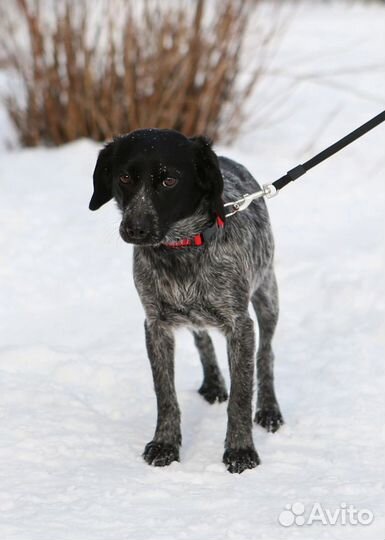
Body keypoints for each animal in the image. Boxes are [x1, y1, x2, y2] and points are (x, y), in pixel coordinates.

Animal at [89, 129, 282, 474]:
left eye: (169, 181)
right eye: (124, 177)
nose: (135, 228)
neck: (180, 251)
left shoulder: (240, 326)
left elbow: (241, 396)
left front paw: (240, 450)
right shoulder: (156, 325)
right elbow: (165, 393)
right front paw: (165, 443)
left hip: (267, 295)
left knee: (266, 354)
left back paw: (269, 408)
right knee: (201, 337)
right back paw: (213, 382)